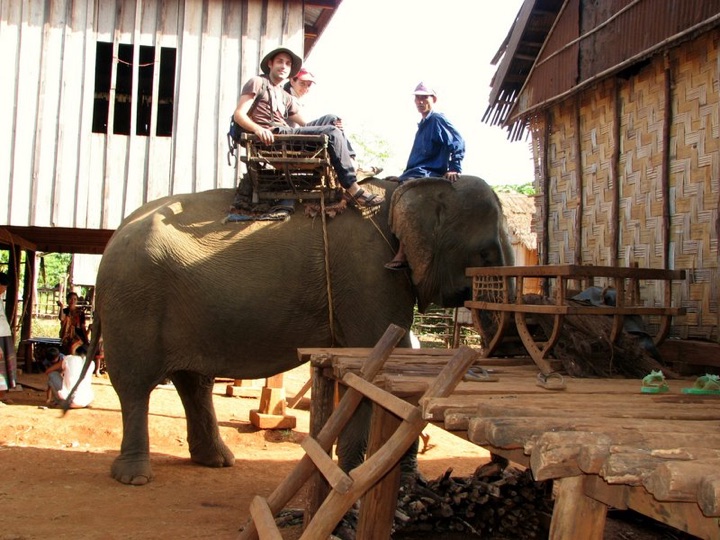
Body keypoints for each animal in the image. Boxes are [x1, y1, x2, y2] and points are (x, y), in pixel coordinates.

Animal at [86, 176, 514, 485]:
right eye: (486, 254)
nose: (487, 470)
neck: (407, 188)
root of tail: (112, 237)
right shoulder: (370, 277)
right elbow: (370, 367)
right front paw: (355, 476)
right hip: (134, 304)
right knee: (136, 385)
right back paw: (134, 477)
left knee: (194, 382)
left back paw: (217, 461)